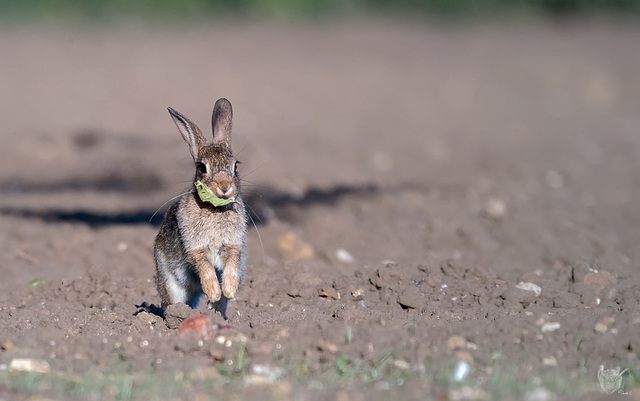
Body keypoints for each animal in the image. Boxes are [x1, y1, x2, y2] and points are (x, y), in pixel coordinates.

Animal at [154, 98, 247, 319]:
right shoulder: (196, 248)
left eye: (235, 166)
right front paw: (213, 290)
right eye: (202, 167)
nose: (224, 187)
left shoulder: (233, 245)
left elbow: (231, 264)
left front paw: (228, 290)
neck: (214, 208)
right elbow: (204, 266)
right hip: (170, 283)